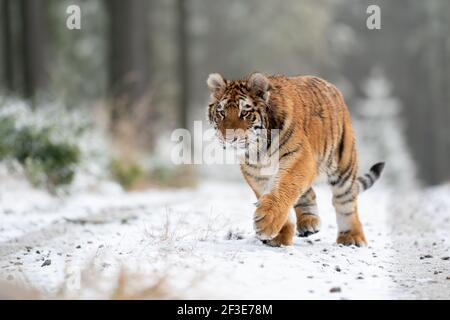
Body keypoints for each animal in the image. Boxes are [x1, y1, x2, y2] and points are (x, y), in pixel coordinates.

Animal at [206, 73, 384, 248]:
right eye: (221, 113)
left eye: (244, 113)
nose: (229, 139)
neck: (259, 149)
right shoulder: (255, 172)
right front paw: (278, 235)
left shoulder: (298, 156)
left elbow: (284, 186)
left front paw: (266, 221)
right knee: (308, 193)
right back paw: (309, 222)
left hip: (343, 166)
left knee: (345, 202)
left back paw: (352, 237)